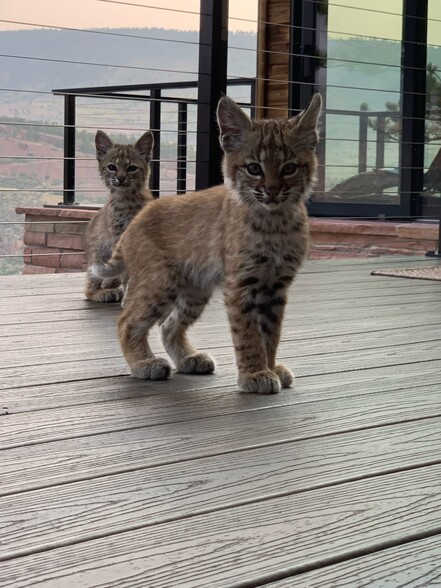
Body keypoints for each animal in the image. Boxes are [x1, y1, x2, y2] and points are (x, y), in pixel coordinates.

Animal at [83, 130, 154, 304]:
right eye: (112, 167)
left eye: (131, 168)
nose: (121, 178)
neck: (127, 197)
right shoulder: (118, 236)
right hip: (100, 255)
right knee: (88, 288)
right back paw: (104, 292)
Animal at [98, 94, 322, 392]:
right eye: (254, 168)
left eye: (289, 168)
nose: (272, 191)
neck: (275, 221)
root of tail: (138, 217)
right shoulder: (242, 283)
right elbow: (248, 333)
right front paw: (255, 374)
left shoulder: (276, 285)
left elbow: (271, 332)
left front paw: (270, 366)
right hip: (160, 281)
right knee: (125, 320)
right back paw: (144, 364)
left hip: (195, 287)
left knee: (168, 325)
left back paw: (188, 359)